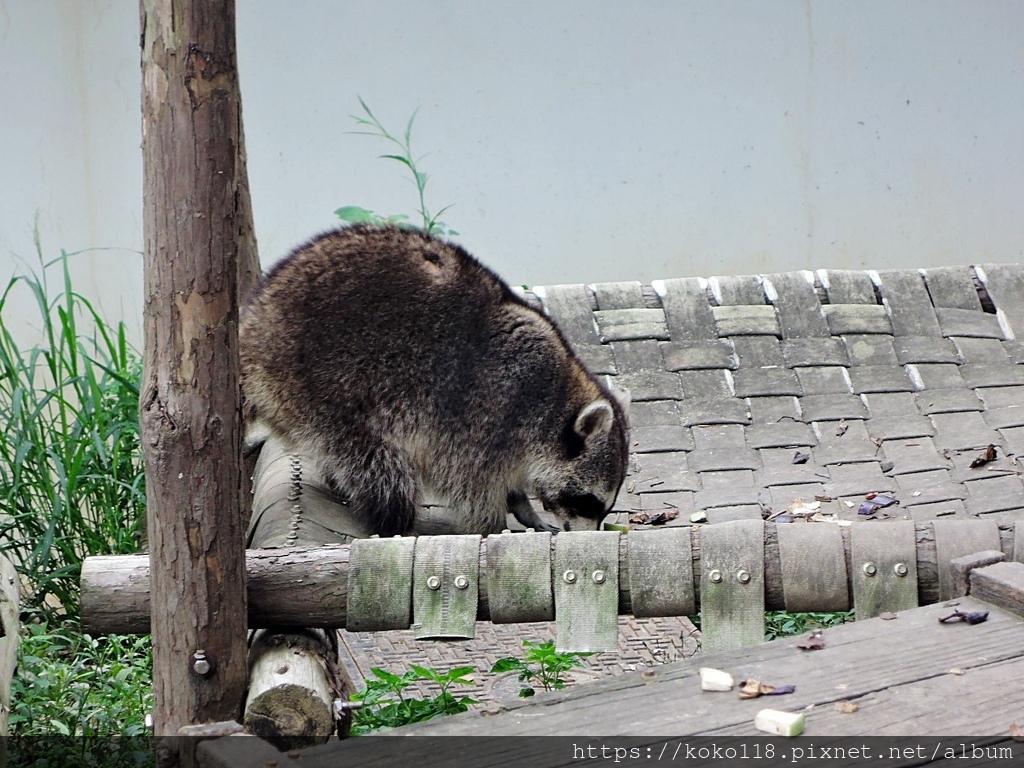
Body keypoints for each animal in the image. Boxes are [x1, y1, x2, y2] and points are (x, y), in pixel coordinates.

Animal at [241, 225, 622, 536]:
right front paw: (494, 523)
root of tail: (253, 324)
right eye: (588, 501)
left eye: (604, 507)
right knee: (377, 461)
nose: (588, 536)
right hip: (321, 380)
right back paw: (393, 516)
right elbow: (471, 484)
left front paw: (522, 504)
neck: (556, 399)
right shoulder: (488, 408)